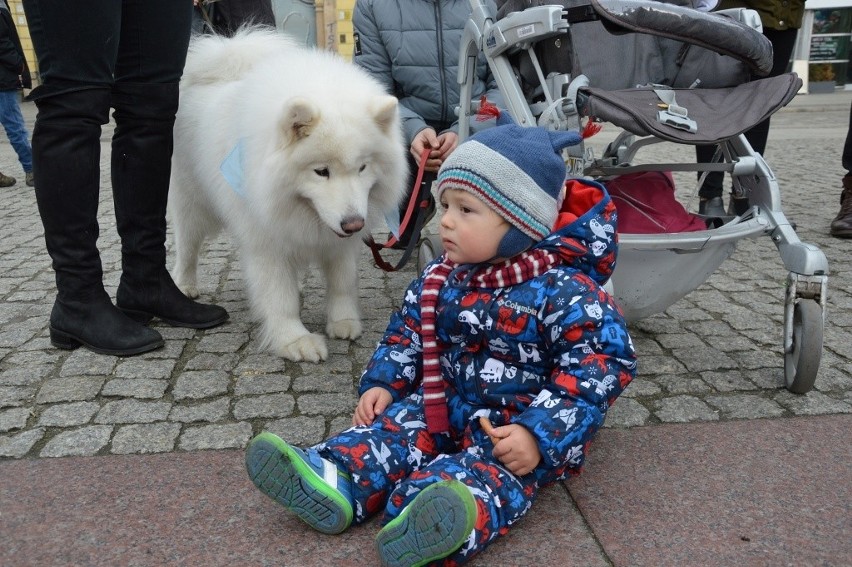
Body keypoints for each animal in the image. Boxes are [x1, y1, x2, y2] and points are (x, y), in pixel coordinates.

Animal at [169, 28, 406, 362]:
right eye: (321, 171)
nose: (354, 224)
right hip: (192, 204)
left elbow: (342, 282)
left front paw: (344, 321)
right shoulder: (267, 241)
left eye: (362, 168)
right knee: (187, 246)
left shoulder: (339, 244)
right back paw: (185, 286)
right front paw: (295, 340)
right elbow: (279, 296)